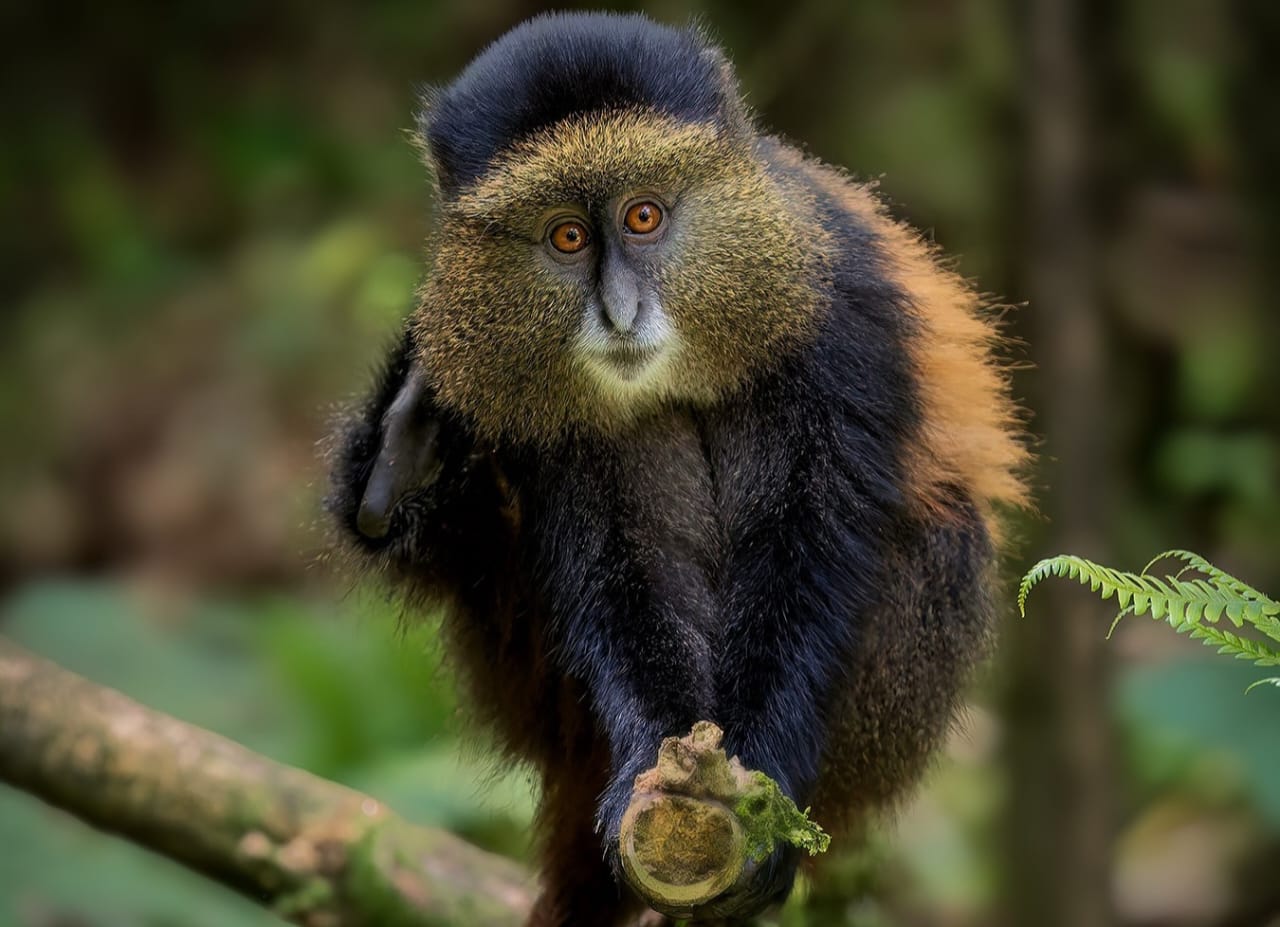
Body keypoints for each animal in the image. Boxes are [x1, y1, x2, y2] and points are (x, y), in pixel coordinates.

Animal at [326, 12, 1029, 927]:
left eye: (645, 216)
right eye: (567, 235)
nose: (620, 313)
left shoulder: (844, 320)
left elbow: (809, 552)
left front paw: (761, 805)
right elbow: (618, 572)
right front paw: (646, 771)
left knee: (938, 540)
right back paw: (399, 466)